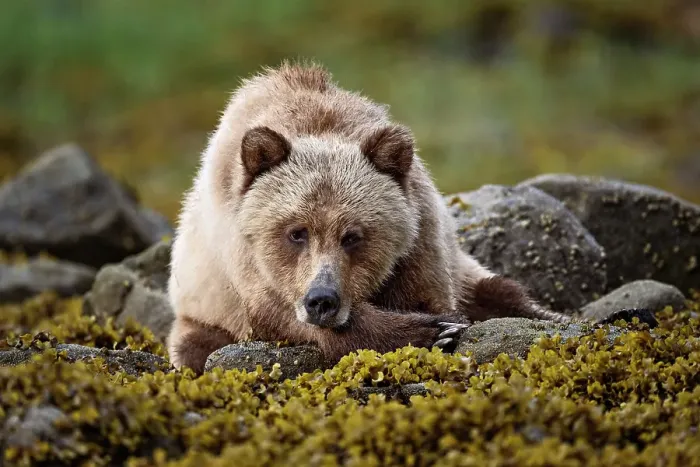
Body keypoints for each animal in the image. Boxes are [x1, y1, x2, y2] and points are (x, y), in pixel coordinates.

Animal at [166, 60, 571, 374]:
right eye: (296, 232)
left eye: (353, 235)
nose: (321, 299)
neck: (315, 123)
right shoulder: (246, 261)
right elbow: (285, 316)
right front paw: (431, 331)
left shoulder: (419, 238)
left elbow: (431, 293)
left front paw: (442, 324)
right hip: (203, 309)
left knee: (499, 288)